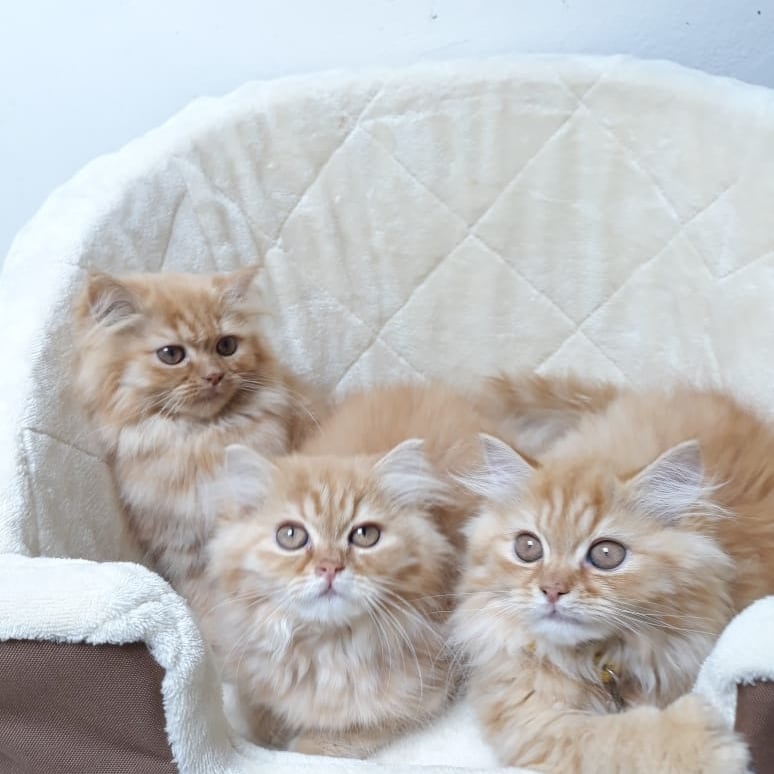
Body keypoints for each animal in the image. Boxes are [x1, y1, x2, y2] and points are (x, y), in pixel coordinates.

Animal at [200, 382, 487, 758]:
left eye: (365, 535)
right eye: (290, 536)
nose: (330, 567)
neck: (328, 649)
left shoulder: (426, 689)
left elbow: (346, 733)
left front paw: (300, 743)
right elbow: (258, 712)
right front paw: (271, 731)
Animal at [452, 383, 772, 773]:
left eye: (606, 555)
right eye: (528, 548)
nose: (552, 589)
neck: (597, 660)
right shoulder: (533, 719)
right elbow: (616, 738)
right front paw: (704, 740)